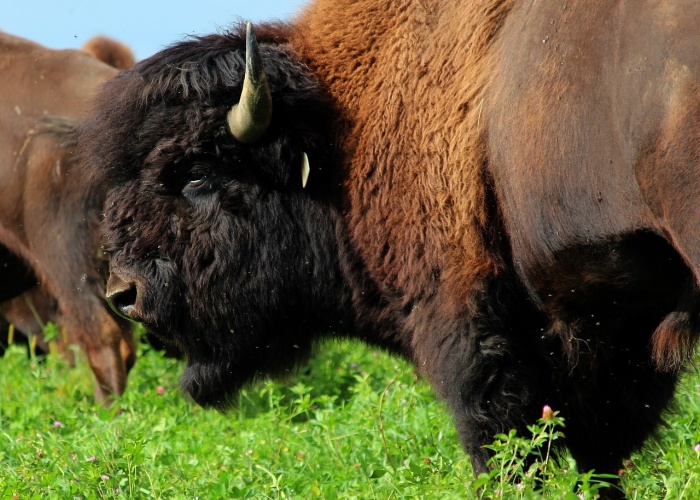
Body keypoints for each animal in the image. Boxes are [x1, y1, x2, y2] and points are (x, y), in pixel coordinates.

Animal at [82, 0, 700, 494]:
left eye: (197, 176)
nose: (123, 293)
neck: (341, 140)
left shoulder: (473, 335)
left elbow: (510, 450)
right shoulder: (606, 338)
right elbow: (600, 457)